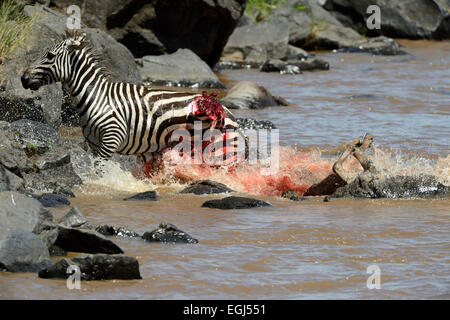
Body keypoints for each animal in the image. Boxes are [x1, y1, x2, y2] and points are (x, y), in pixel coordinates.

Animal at [22, 30, 246, 171]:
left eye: (50, 56)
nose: (23, 78)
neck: (98, 98)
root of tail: (230, 113)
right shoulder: (93, 144)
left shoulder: (111, 138)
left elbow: (99, 173)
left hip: (218, 150)